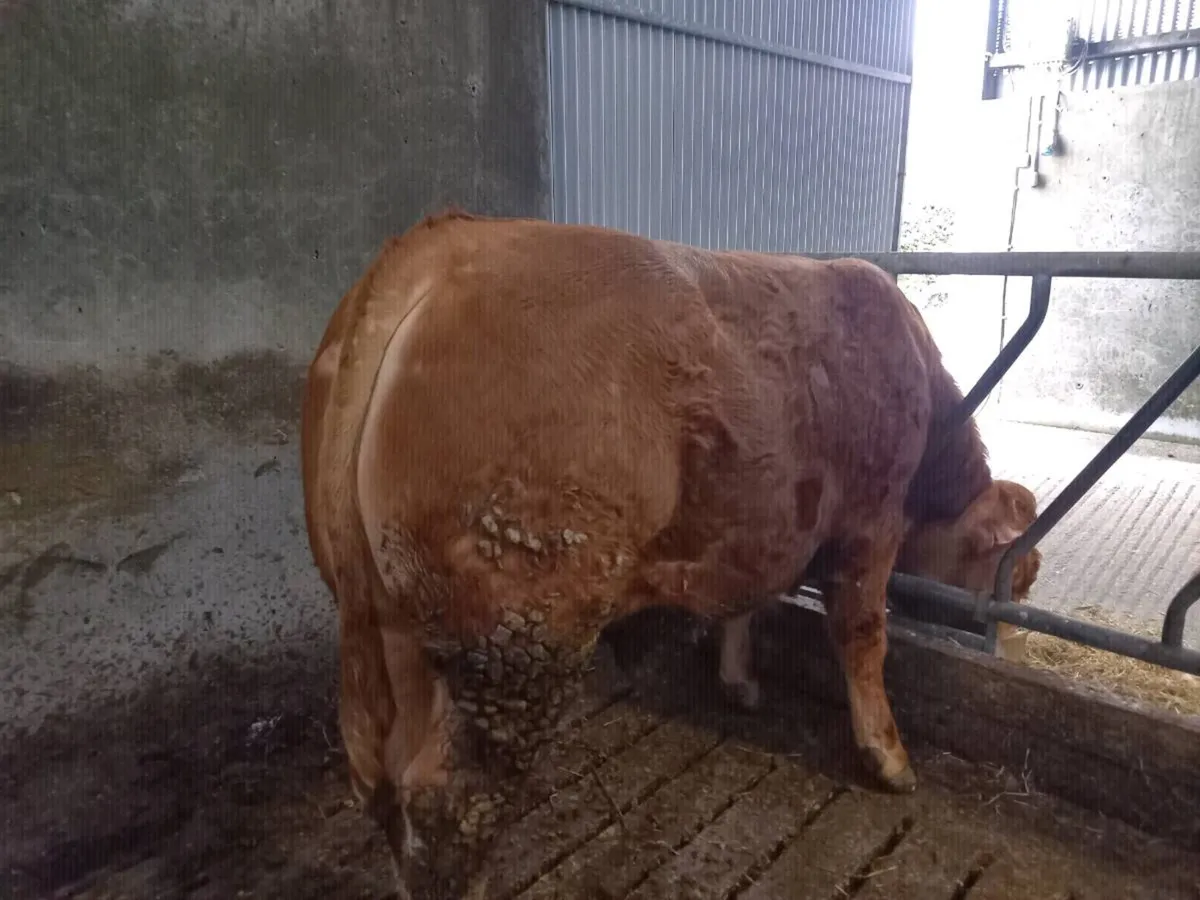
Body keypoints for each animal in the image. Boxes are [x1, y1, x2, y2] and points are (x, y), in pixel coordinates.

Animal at [301, 210, 1042, 898]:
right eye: (1017, 580)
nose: (1010, 651)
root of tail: (441, 246)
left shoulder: (763, 518)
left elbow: (748, 599)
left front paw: (739, 681)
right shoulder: (872, 521)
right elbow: (862, 637)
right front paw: (888, 757)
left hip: (395, 626)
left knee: (384, 779)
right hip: (515, 638)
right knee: (449, 800)